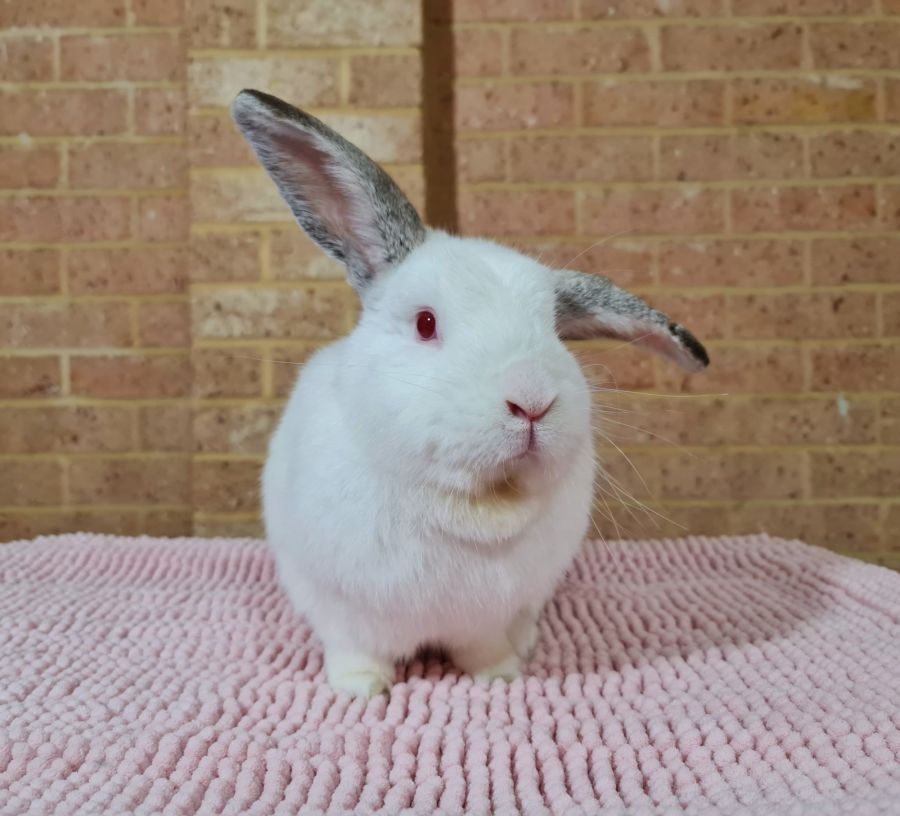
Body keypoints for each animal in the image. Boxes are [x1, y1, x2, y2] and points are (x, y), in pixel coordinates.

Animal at [232, 89, 709, 698]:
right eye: (426, 323)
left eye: (555, 330)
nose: (531, 401)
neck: (475, 505)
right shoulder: (344, 610)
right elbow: (356, 650)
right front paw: (360, 690)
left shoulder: (483, 617)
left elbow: (483, 647)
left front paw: (500, 677)